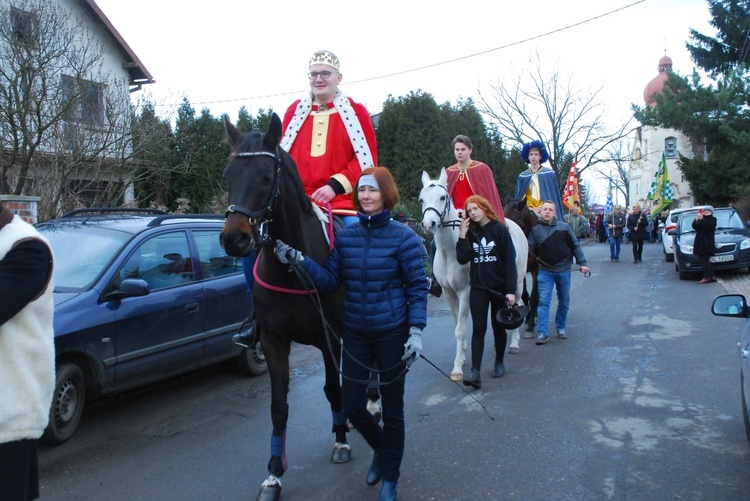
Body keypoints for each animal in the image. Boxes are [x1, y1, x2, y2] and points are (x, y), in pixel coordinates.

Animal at [217, 113, 346, 500]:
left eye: (265, 176)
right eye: (227, 176)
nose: (235, 239)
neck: (294, 265)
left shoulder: (330, 340)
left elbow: (334, 390)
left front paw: (341, 441)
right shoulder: (274, 342)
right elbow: (278, 408)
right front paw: (274, 473)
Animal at [420, 168, 532, 378]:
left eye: (442, 197)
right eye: (421, 199)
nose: (429, 224)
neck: (451, 250)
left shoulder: (465, 291)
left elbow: (460, 329)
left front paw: (457, 369)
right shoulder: (449, 293)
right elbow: (457, 324)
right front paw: (463, 355)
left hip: (518, 282)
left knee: (519, 303)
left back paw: (514, 343)